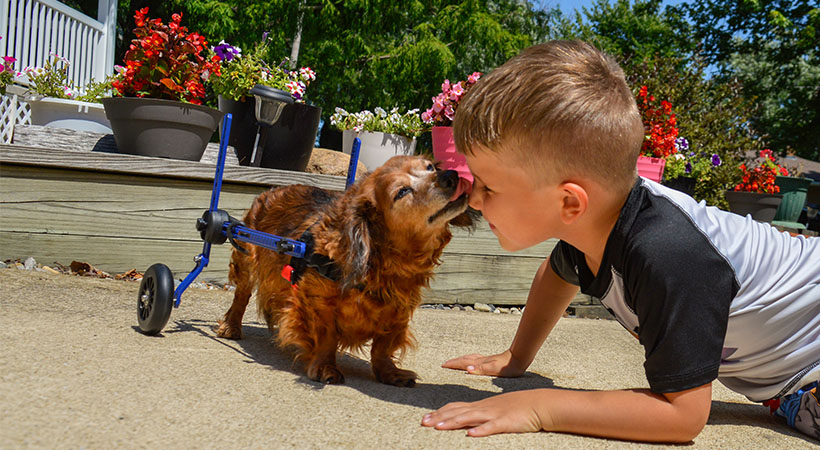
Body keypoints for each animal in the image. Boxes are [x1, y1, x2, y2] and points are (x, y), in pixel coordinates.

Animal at [215, 156, 470, 386]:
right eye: (402, 192)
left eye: (430, 167)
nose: (451, 176)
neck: (383, 264)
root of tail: (276, 189)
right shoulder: (317, 302)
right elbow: (327, 336)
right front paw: (325, 367)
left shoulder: (398, 310)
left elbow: (382, 346)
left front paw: (389, 372)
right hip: (246, 257)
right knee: (241, 295)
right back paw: (231, 326)